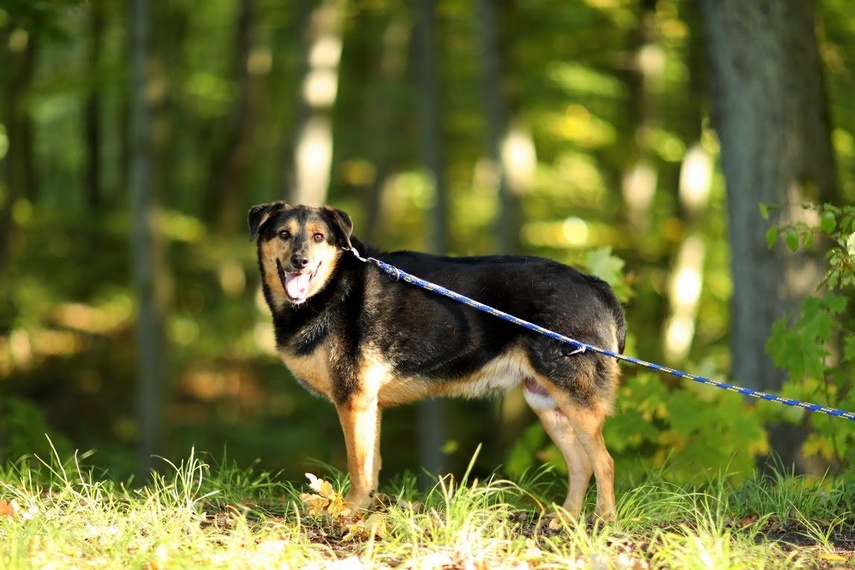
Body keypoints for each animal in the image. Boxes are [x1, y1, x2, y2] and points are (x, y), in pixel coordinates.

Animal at [251, 202, 624, 516]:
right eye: (283, 234)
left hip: (575, 399)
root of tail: (595, 285)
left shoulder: (353, 401)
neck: (331, 290)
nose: (299, 260)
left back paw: (603, 521)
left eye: (319, 237)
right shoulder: (370, 404)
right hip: (547, 403)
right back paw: (566, 520)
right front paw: (368, 512)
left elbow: (359, 466)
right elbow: (372, 465)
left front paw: (350, 511)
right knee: (581, 464)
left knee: (604, 463)